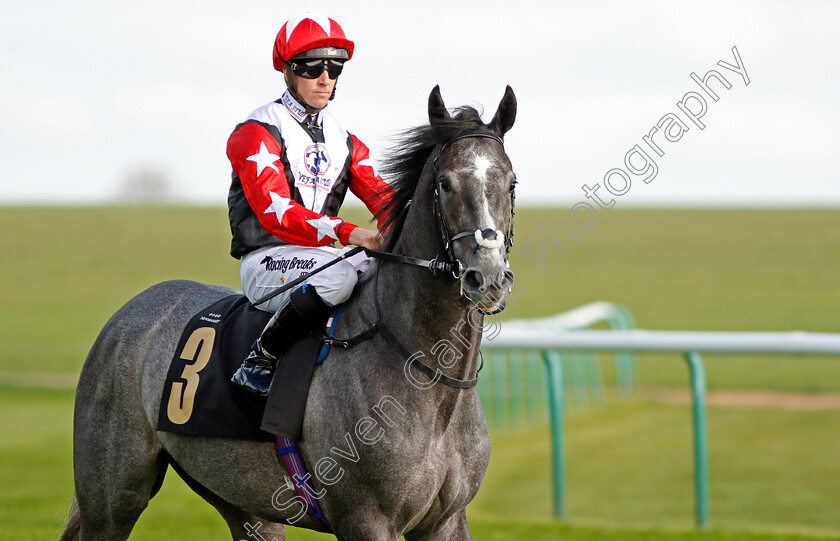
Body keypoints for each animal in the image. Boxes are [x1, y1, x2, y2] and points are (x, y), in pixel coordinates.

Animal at [59, 85, 516, 540]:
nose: (488, 277)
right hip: (113, 497)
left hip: (245, 505)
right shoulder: (365, 519)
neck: (428, 378)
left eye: (510, 182)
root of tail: (128, 315)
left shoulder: (446, 521)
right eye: (445, 183)